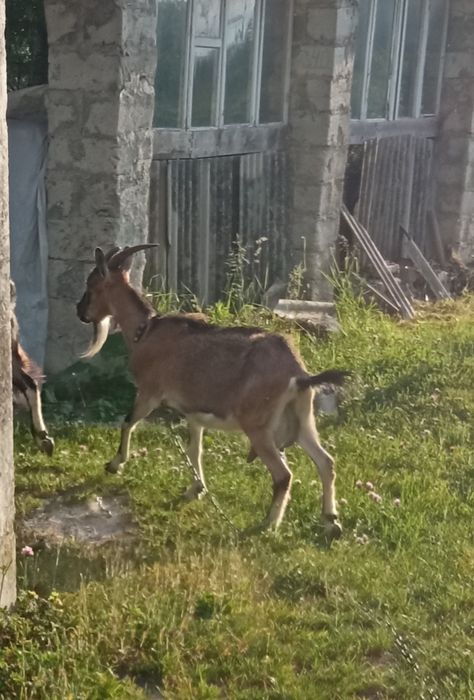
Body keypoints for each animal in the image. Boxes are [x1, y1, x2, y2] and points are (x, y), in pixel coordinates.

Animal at [76, 245, 347, 538]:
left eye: (91, 284)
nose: (80, 311)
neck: (146, 331)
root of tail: (298, 375)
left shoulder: (149, 393)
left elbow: (128, 423)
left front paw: (115, 464)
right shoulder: (193, 413)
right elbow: (195, 450)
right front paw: (195, 489)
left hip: (259, 426)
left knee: (283, 475)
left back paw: (269, 524)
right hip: (303, 419)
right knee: (326, 462)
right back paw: (330, 520)